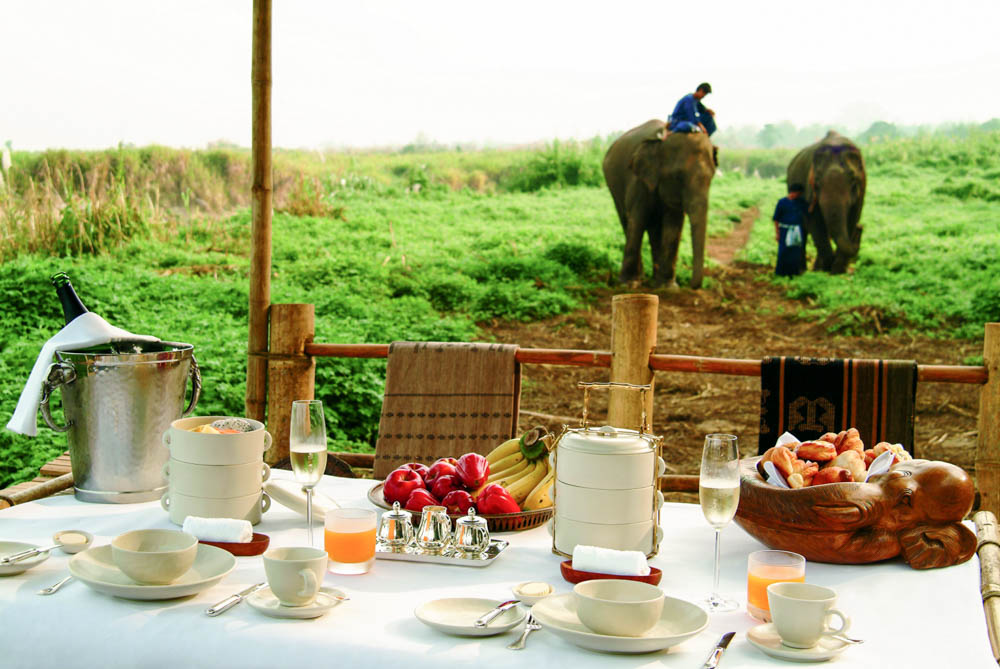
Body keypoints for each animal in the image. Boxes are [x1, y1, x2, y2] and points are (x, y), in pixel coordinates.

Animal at [604, 120, 716, 288]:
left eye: (711, 177)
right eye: (678, 176)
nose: (691, 285)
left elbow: (674, 224)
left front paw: (668, 287)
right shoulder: (639, 182)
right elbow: (637, 220)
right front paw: (628, 284)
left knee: (654, 228)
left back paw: (655, 279)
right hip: (613, 186)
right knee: (626, 220)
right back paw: (639, 278)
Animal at [784, 130, 864, 272]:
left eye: (853, 180)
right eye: (817, 183)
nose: (861, 227)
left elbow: (852, 219)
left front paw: (837, 271)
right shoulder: (809, 189)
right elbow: (815, 222)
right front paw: (828, 268)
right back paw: (804, 271)